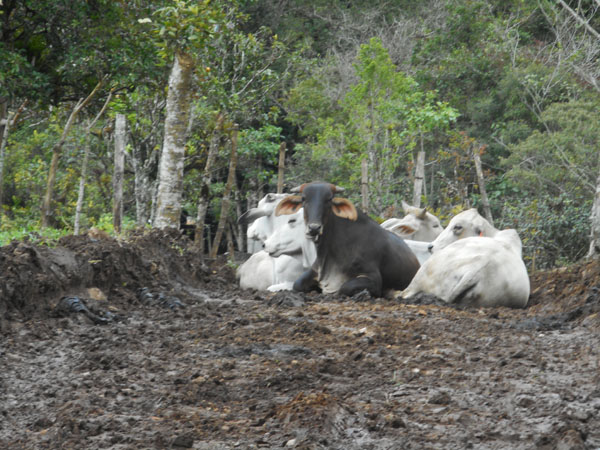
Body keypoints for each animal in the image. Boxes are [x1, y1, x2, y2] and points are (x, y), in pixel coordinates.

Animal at [276, 181, 420, 298]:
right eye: (303, 198)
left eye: (329, 199)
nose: (314, 228)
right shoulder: (315, 270)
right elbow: (297, 284)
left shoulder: (372, 277)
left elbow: (344, 288)